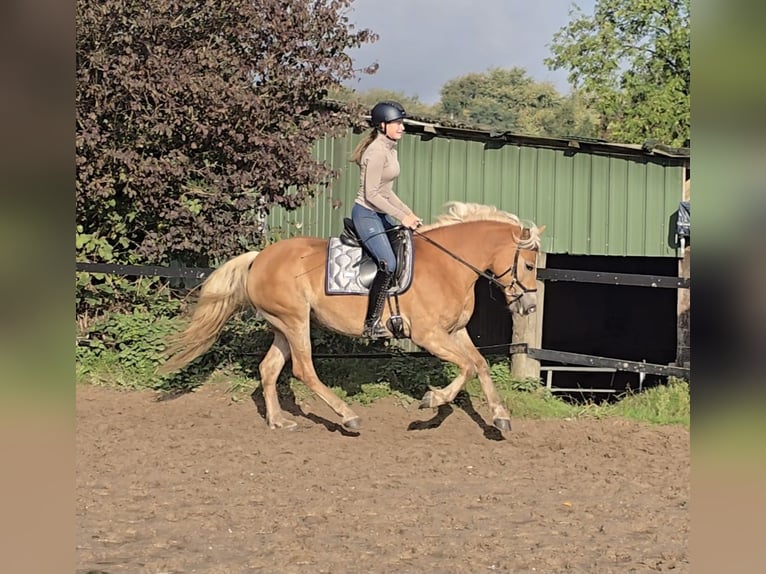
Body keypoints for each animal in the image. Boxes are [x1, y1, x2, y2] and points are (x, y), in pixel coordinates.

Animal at [160, 202, 544, 432]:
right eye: (528, 265)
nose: (528, 307)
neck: (446, 265)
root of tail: (259, 258)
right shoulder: (428, 336)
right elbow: (465, 368)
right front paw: (432, 400)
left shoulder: (456, 331)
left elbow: (479, 365)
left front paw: (500, 417)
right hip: (296, 322)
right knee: (304, 370)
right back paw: (347, 416)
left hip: (284, 325)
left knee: (269, 369)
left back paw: (279, 420)